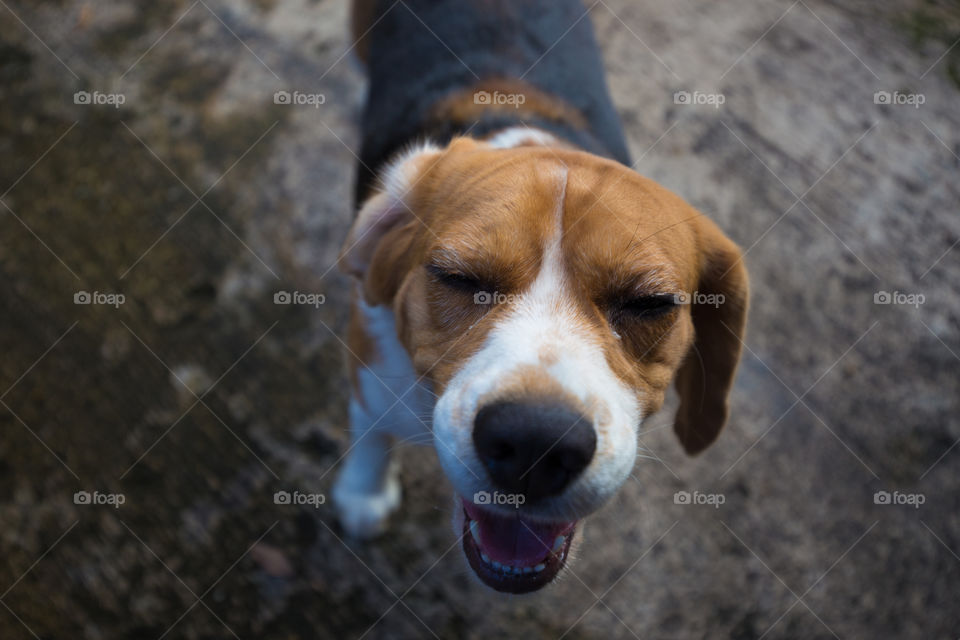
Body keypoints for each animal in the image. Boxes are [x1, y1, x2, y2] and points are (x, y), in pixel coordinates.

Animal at [336, 0, 752, 596]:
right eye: (458, 277)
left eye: (648, 302)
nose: (535, 443)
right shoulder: (369, 364)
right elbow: (371, 432)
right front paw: (363, 496)